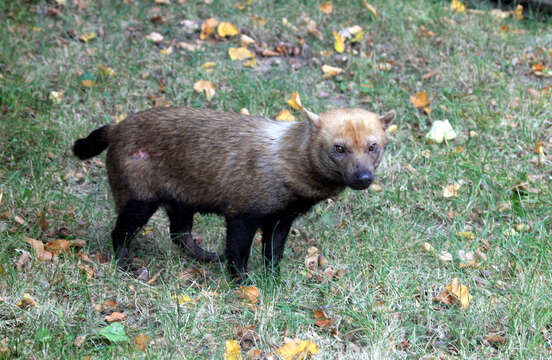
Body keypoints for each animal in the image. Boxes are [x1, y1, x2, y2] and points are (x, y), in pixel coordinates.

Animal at [73, 106, 394, 282]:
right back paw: (126, 265)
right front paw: (243, 284)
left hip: (181, 201)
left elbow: (273, 253)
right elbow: (238, 254)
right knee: (120, 233)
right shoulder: (242, 214)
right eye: (339, 148)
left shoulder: (281, 219)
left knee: (180, 235)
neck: (285, 163)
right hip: (139, 201)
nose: (364, 178)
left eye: (373, 146)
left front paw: (274, 280)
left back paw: (206, 256)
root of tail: (115, 128)